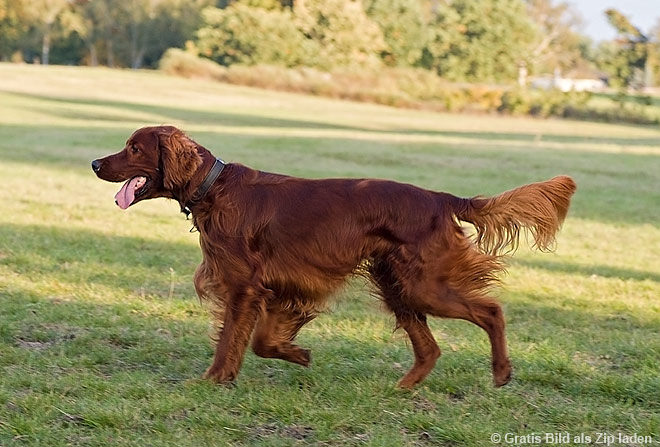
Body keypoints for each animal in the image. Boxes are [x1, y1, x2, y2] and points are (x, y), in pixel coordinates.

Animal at [93, 125, 576, 388]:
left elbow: (232, 340)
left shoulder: (244, 287)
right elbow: (261, 340)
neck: (214, 189)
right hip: (397, 286)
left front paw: (212, 379)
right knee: (430, 347)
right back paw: (402, 388)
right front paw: (298, 354)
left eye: (134, 148)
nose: (96, 163)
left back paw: (501, 371)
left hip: (422, 285)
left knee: (491, 311)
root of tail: (441, 198)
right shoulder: (277, 287)